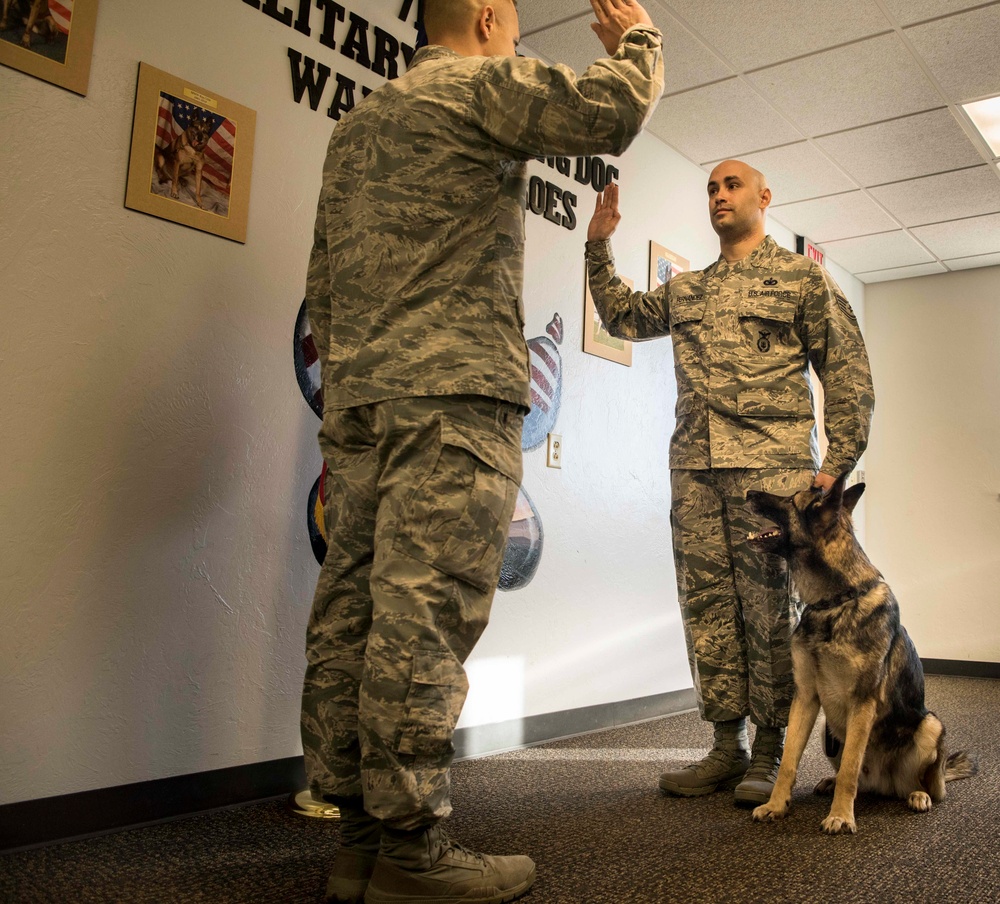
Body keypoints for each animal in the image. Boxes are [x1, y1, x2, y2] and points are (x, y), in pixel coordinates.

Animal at [748, 474, 972, 832]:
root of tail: (885, 785)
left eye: (791, 500)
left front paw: (840, 815)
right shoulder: (806, 698)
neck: (835, 601)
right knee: (858, 779)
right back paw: (830, 782)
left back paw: (918, 795)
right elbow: (789, 763)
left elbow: (850, 770)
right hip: (829, 731)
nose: (748, 492)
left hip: (931, 725)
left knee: (929, 786)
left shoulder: (862, 703)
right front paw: (776, 805)